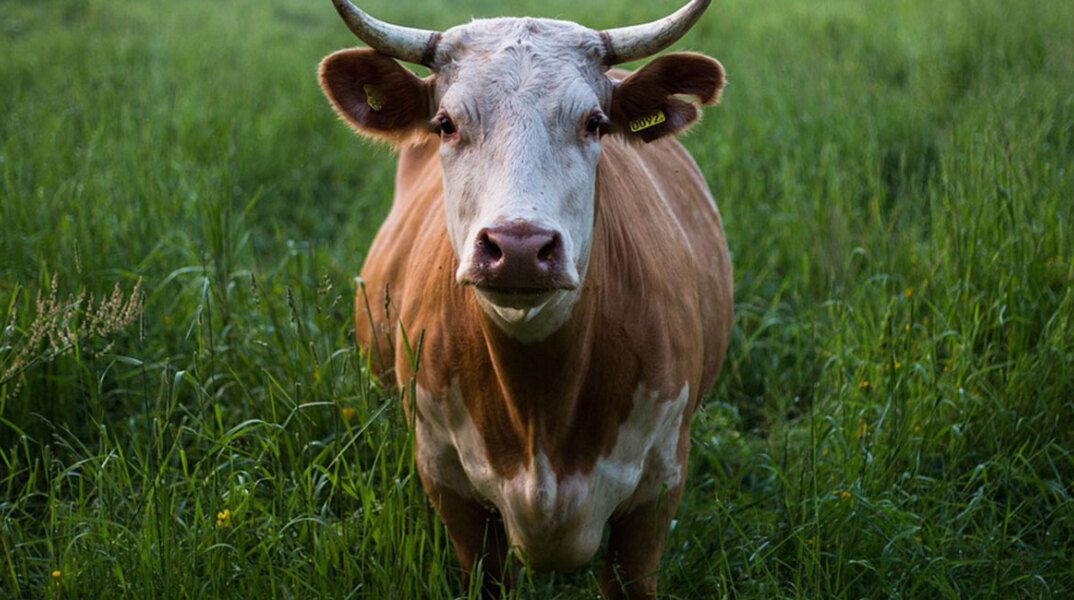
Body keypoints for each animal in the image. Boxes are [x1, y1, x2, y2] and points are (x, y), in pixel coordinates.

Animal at [318, 0, 733, 597]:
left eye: (594, 122)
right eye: (446, 123)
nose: (517, 247)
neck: (541, 409)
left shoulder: (658, 488)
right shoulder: (448, 483)